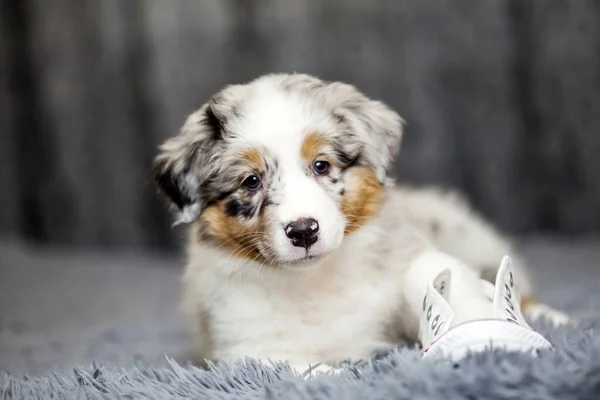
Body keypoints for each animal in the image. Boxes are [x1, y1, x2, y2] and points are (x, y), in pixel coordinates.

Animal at [152, 72, 568, 376]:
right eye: (251, 181)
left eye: (322, 165)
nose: (303, 231)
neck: (314, 281)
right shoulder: (243, 345)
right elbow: (297, 370)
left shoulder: (407, 257)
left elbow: (434, 272)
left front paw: (482, 334)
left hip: (467, 235)